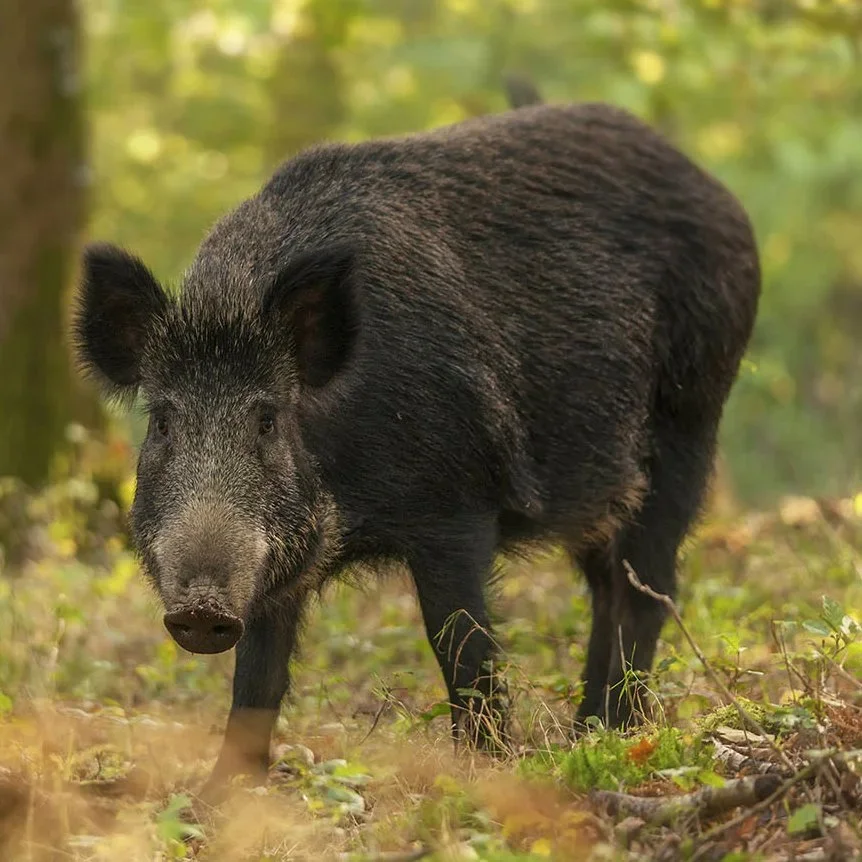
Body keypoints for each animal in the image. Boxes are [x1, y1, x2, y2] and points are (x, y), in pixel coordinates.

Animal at [73, 91, 760, 799]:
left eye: (268, 419)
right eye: (162, 422)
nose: (203, 610)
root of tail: (719, 195)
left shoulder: (457, 509)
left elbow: (460, 647)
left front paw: (485, 776)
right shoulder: (277, 567)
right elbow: (258, 677)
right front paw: (219, 798)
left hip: (689, 422)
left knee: (649, 587)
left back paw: (616, 738)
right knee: (608, 589)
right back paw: (589, 739)